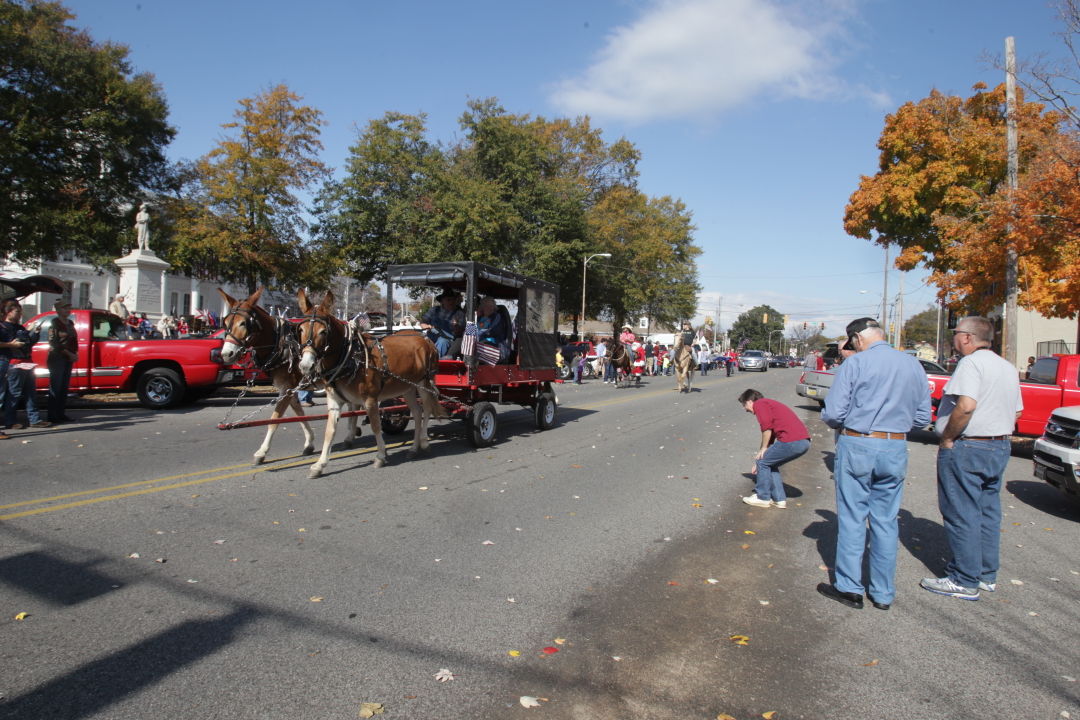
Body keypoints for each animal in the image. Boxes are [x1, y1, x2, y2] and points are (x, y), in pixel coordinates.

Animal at [219, 289, 362, 464]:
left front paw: (262, 452)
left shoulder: (287, 388)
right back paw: (351, 434)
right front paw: (309, 442)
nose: (226, 354)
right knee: (353, 406)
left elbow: (275, 419)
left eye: (244, 323)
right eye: (225, 323)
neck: (280, 345)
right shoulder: (290, 388)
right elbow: (299, 413)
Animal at [293, 287, 444, 479]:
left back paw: (424, 442)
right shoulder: (335, 401)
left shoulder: (370, 399)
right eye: (300, 330)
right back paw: (413, 448)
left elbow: (375, 425)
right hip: (407, 388)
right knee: (417, 413)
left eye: (323, 332)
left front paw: (380, 456)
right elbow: (330, 431)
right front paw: (319, 465)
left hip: (423, 384)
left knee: (427, 409)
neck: (350, 356)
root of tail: (424, 339)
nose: (306, 365)